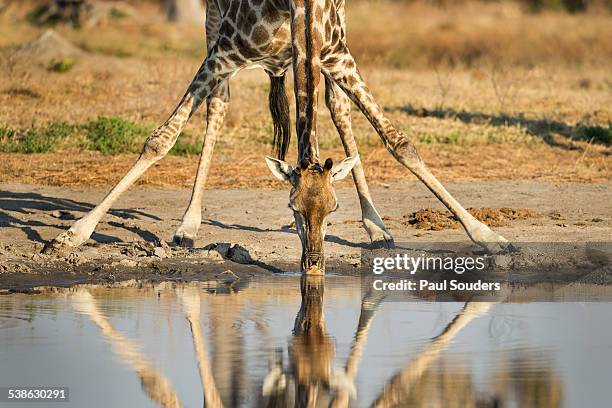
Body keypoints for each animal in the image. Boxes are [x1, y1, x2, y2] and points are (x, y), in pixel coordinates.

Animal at [45, 0, 510, 274]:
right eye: (293, 208)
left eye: (333, 209)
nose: (314, 264)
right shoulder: (224, 51)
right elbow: (162, 138)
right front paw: (73, 234)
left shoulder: (336, 54)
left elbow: (399, 142)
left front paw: (489, 237)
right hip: (213, 24)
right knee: (217, 106)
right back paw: (187, 226)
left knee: (339, 110)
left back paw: (377, 228)